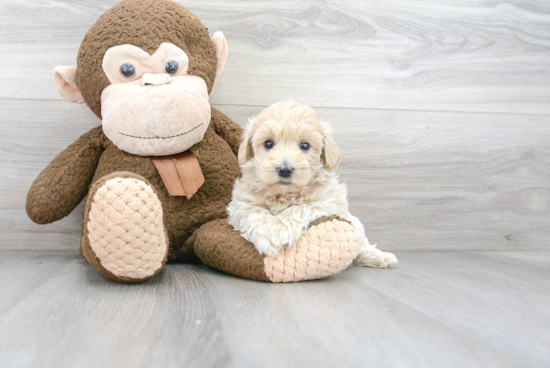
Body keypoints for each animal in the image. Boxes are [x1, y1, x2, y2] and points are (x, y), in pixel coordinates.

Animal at [226, 100, 398, 268]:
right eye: (268, 144)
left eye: (304, 146)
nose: (284, 170)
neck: (284, 194)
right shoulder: (241, 203)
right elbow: (253, 212)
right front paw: (268, 237)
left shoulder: (325, 201)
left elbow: (298, 209)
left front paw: (277, 230)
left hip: (355, 224)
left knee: (361, 246)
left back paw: (379, 257)